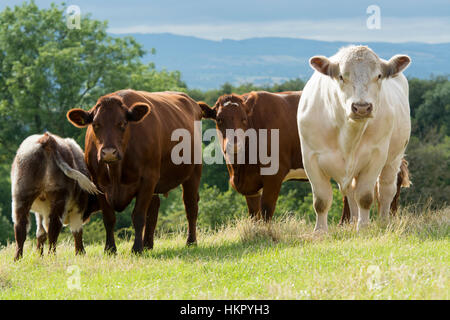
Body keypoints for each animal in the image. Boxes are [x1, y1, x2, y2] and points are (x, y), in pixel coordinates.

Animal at [10, 132, 100, 260]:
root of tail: (47, 138)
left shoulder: (41, 211)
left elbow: (41, 233)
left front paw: (39, 255)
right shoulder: (78, 208)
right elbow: (77, 231)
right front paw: (80, 253)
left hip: (21, 197)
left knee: (20, 228)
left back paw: (18, 258)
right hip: (59, 200)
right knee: (54, 228)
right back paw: (52, 255)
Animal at [67, 89, 203, 254]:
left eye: (122, 123)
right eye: (96, 124)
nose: (109, 153)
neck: (115, 172)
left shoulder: (148, 179)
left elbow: (138, 216)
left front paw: (137, 248)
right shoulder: (99, 184)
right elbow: (109, 218)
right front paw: (110, 249)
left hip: (193, 172)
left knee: (190, 206)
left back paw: (191, 242)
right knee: (154, 208)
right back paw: (148, 244)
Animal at [298, 45, 412, 231]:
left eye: (378, 76)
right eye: (341, 76)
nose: (362, 107)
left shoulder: (376, 156)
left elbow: (365, 197)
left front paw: (363, 228)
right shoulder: (310, 158)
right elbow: (321, 201)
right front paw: (320, 232)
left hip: (393, 159)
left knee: (386, 191)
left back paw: (382, 223)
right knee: (351, 193)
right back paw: (352, 222)